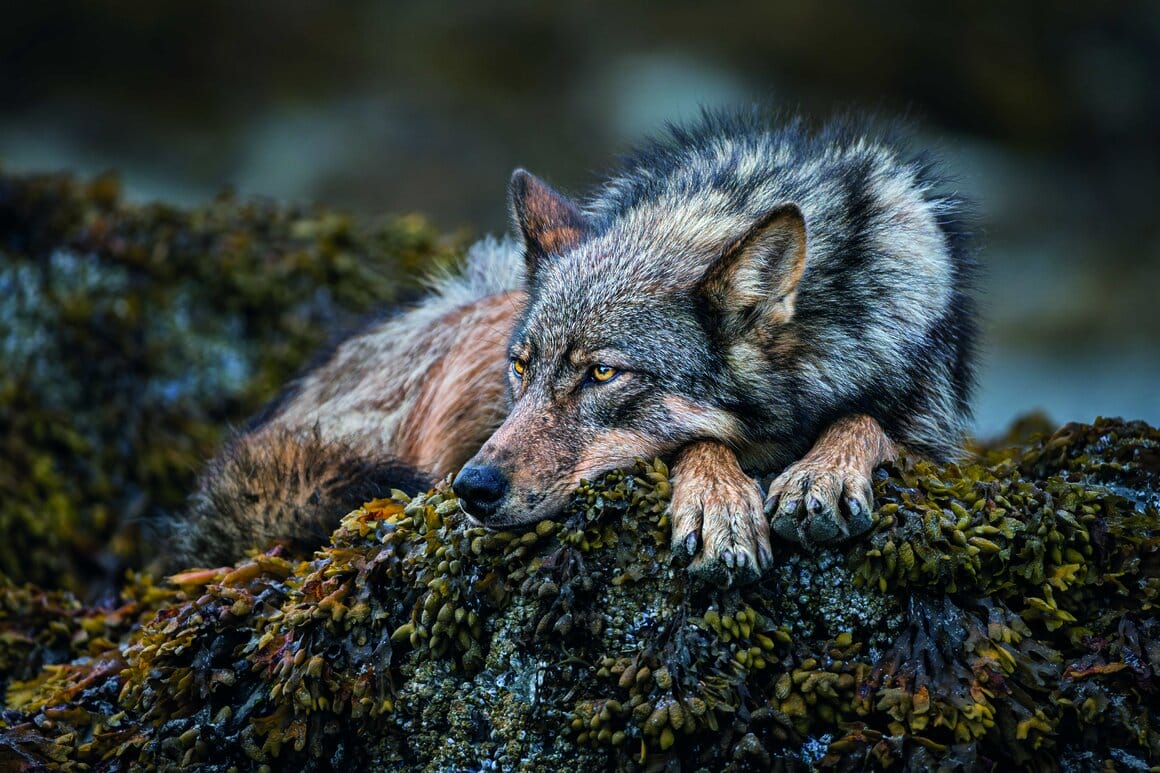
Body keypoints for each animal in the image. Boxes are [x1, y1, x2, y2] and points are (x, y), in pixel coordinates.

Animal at [168, 110, 976, 583]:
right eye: (523, 368)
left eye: (602, 374)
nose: (473, 489)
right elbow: (699, 440)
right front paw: (718, 501)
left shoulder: (931, 429)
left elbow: (868, 421)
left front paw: (821, 472)